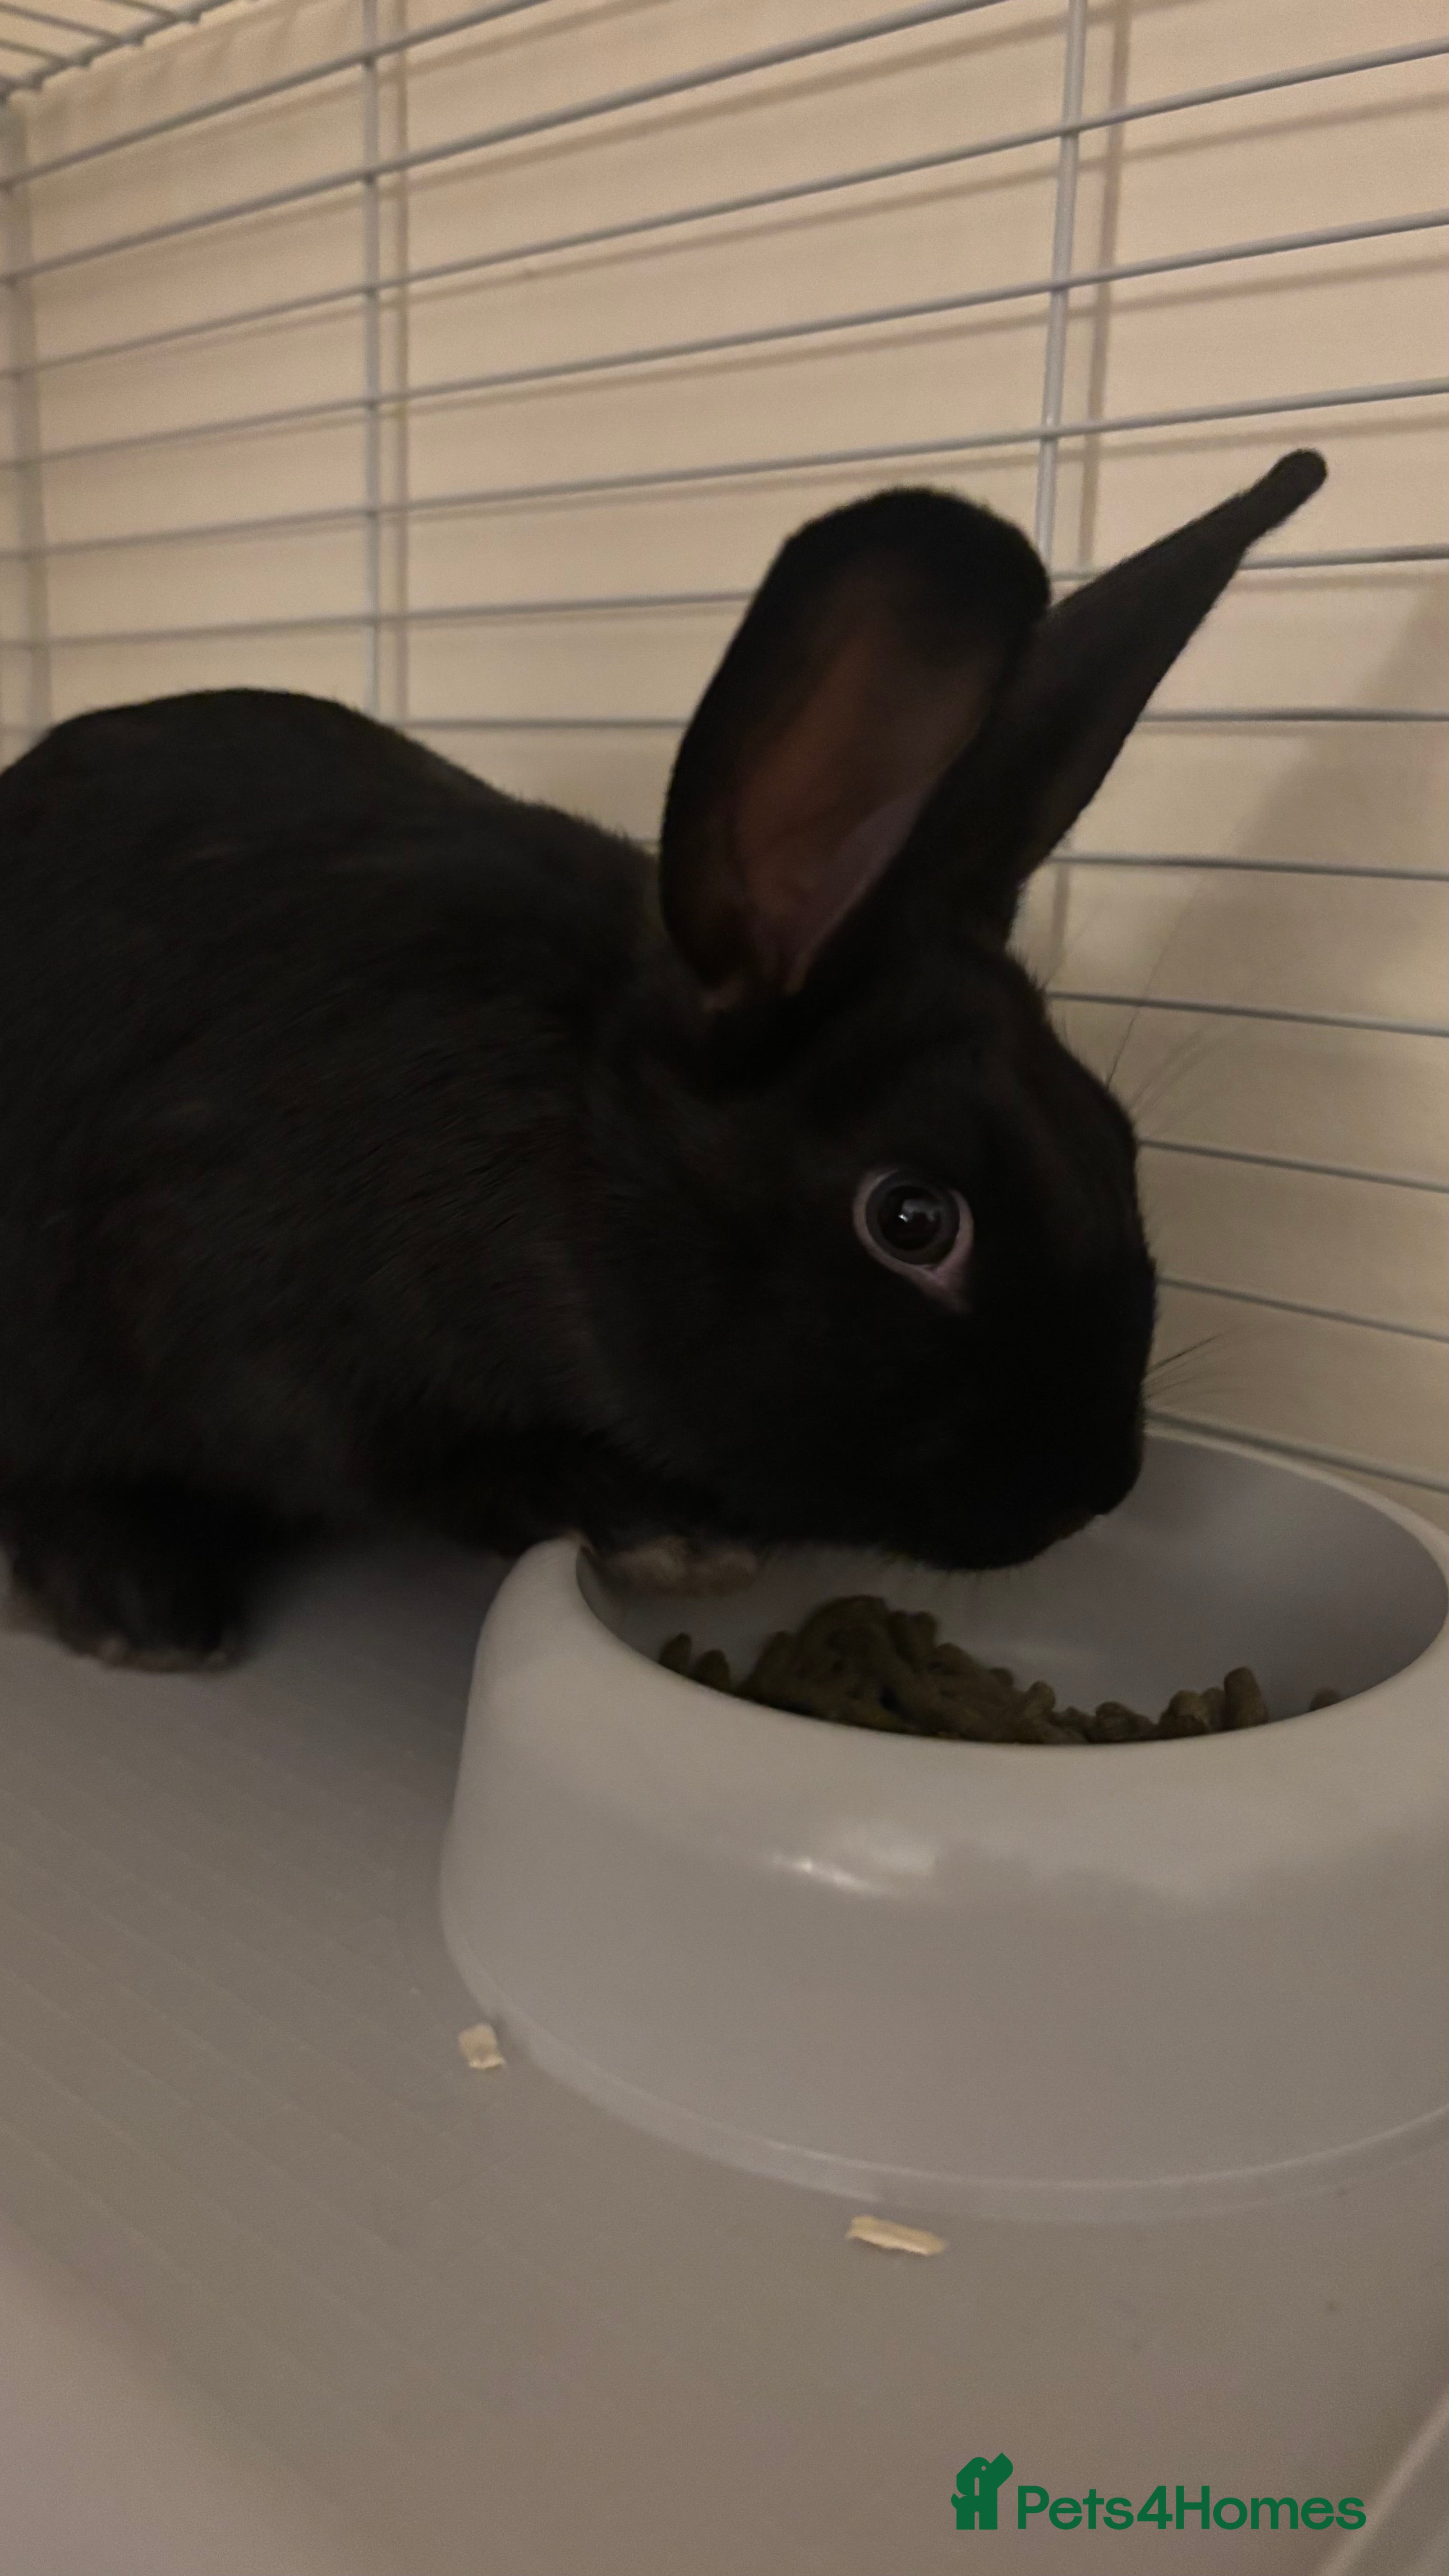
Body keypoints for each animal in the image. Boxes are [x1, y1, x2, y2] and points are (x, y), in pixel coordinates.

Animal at [0, 449, 1326, 1667]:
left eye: (1117, 1139)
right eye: (911, 1221)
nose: (1098, 1487)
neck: (569, 1151)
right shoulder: (281, 1347)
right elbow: (427, 1466)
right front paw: (669, 1538)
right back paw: (142, 1610)